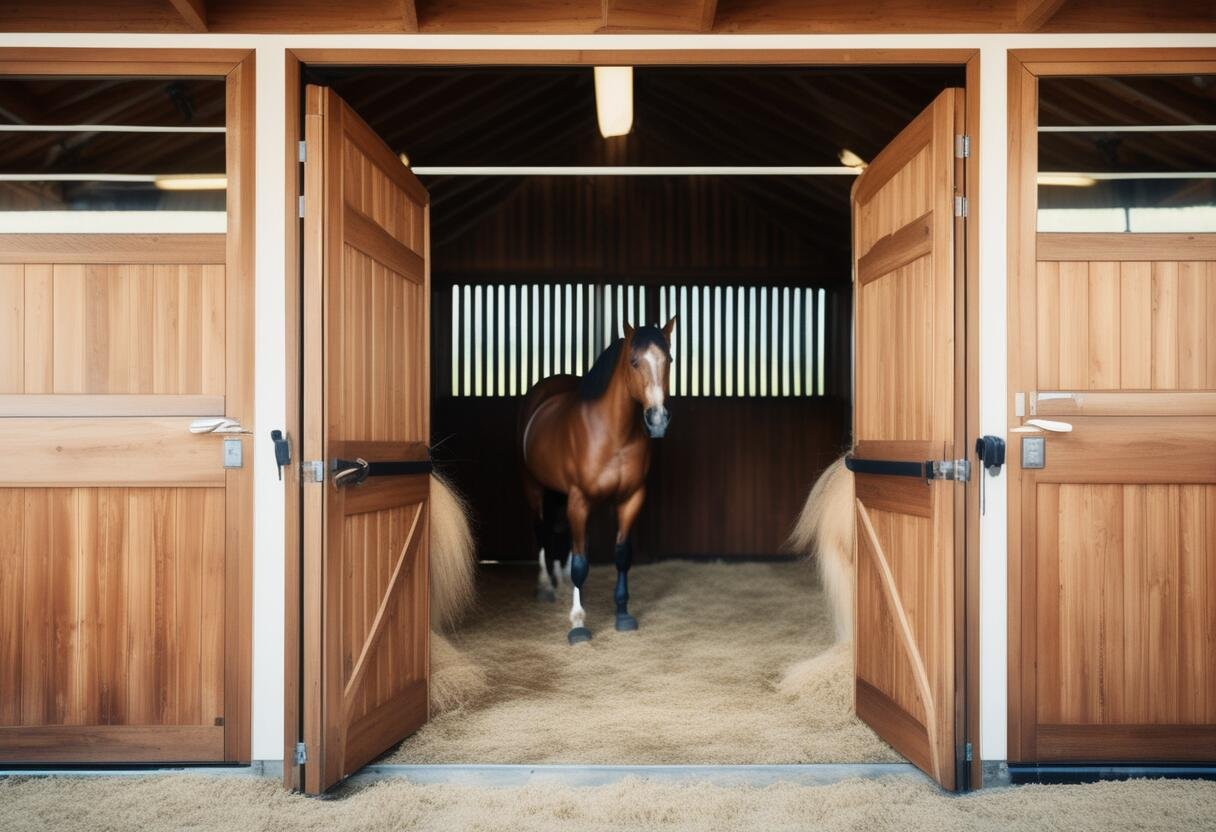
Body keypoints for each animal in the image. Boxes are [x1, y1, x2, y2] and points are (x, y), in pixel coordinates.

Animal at [518, 318, 676, 645]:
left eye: (668, 360)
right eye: (634, 362)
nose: (657, 420)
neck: (614, 434)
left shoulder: (631, 498)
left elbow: (621, 556)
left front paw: (623, 613)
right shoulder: (580, 499)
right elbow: (581, 561)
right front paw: (578, 624)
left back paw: (564, 583)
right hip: (535, 488)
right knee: (541, 530)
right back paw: (546, 587)